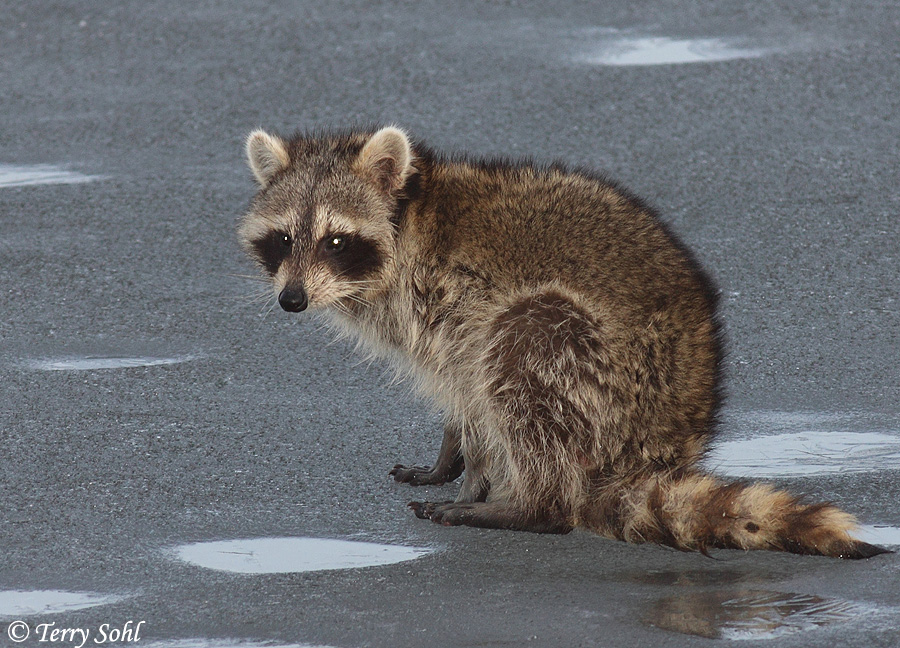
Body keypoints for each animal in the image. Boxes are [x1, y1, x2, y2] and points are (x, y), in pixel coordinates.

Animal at [240, 125, 888, 559]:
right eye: (284, 238)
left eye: (336, 240)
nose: (291, 299)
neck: (411, 216)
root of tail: (663, 447)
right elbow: (463, 398)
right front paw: (452, 456)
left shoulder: (454, 302)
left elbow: (471, 386)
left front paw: (471, 470)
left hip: (596, 364)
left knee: (524, 360)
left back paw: (532, 506)